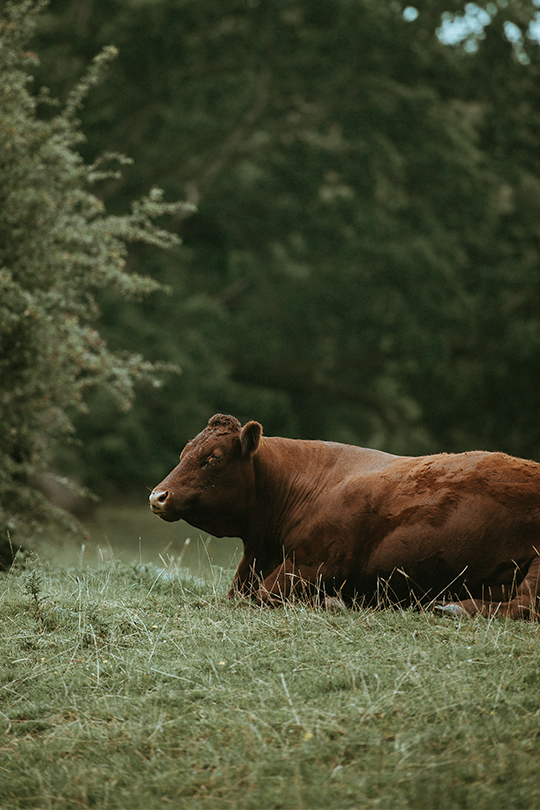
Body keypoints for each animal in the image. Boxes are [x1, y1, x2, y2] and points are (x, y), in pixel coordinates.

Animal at [150, 414, 540, 616]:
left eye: (213, 458)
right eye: (184, 452)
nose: (158, 496)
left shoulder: (313, 564)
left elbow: (264, 593)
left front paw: (332, 600)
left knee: (524, 604)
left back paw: (453, 607)